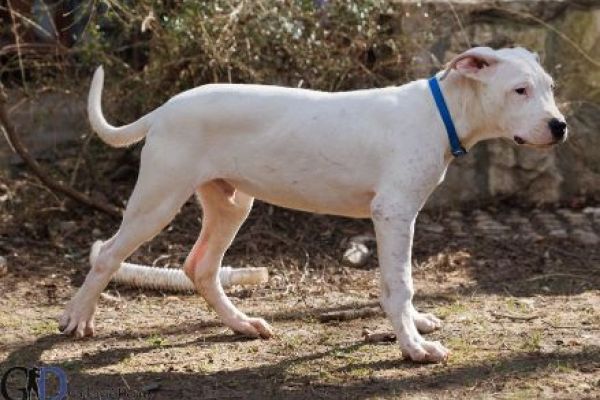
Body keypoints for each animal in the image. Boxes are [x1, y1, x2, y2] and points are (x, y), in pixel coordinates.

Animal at [59, 46, 568, 362]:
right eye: (520, 90)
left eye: (549, 86)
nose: (559, 126)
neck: (440, 111)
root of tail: (165, 109)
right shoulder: (393, 214)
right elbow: (399, 284)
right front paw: (413, 346)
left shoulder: (400, 217)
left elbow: (403, 282)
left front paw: (416, 325)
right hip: (159, 197)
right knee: (108, 253)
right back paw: (77, 318)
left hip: (231, 204)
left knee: (200, 267)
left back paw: (242, 324)